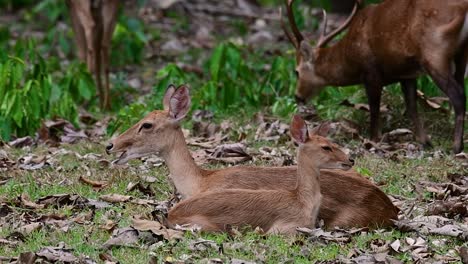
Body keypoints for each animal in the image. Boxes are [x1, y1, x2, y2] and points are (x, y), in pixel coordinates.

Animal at [166, 114, 352, 234]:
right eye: (326, 147)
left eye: (332, 142)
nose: (350, 160)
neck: (302, 200)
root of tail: (170, 214)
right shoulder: (284, 228)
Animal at [282, 0, 468, 154]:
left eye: (296, 71)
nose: (298, 97)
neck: (350, 57)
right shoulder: (407, 73)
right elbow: (411, 107)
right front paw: (425, 142)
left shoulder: (371, 71)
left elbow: (374, 108)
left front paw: (373, 140)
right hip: (460, 55)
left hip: (435, 52)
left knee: (458, 96)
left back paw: (456, 147)